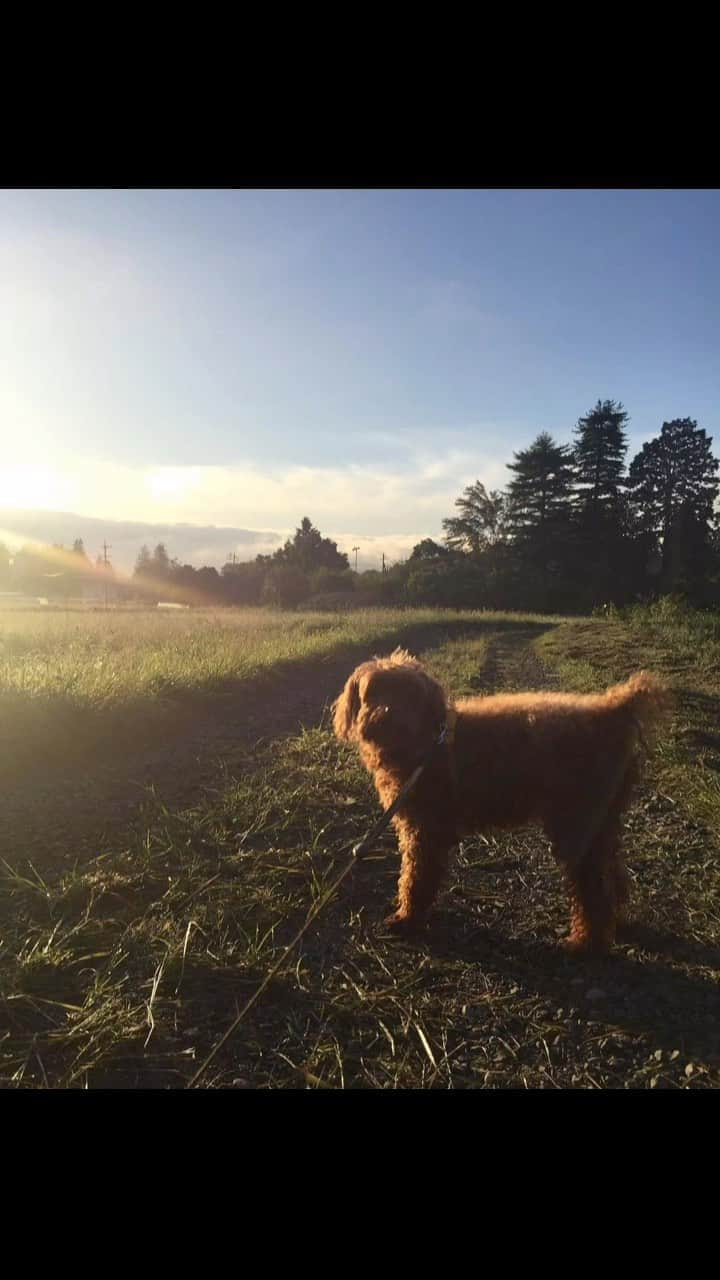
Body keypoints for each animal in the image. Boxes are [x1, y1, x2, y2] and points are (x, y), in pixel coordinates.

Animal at [333, 650, 666, 952]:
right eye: (373, 690)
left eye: (410, 694)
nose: (387, 717)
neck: (424, 744)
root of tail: (613, 709)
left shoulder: (425, 831)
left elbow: (415, 879)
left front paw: (407, 919)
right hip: (602, 817)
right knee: (612, 873)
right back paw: (617, 922)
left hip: (577, 822)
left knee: (593, 888)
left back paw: (587, 941)